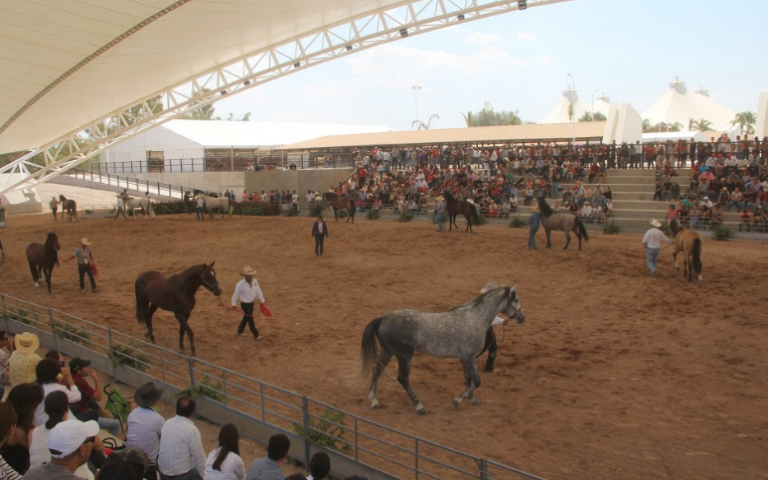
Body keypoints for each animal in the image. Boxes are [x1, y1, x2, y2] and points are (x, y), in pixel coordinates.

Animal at [357, 283, 525, 415]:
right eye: (516, 299)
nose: (523, 318)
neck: (474, 319)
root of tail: (383, 318)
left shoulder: (466, 359)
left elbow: (468, 379)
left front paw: (472, 399)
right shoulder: (468, 358)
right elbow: (477, 381)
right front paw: (457, 401)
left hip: (388, 352)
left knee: (377, 370)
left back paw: (374, 401)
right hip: (404, 355)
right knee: (402, 378)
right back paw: (419, 406)